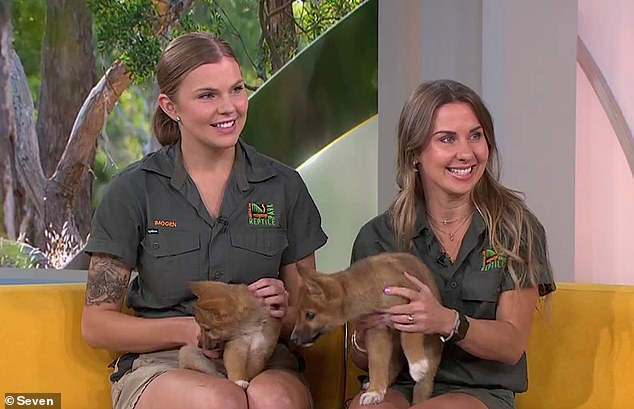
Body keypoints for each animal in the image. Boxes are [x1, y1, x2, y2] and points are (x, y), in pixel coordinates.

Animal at [290, 252, 442, 404]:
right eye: (297, 313)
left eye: (310, 315)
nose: (293, 339)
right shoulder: (377, 331)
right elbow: (376, 362)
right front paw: (375, 391)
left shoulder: (411, 308)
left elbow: (408, 338)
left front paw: (417, 365)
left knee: (424, 385)